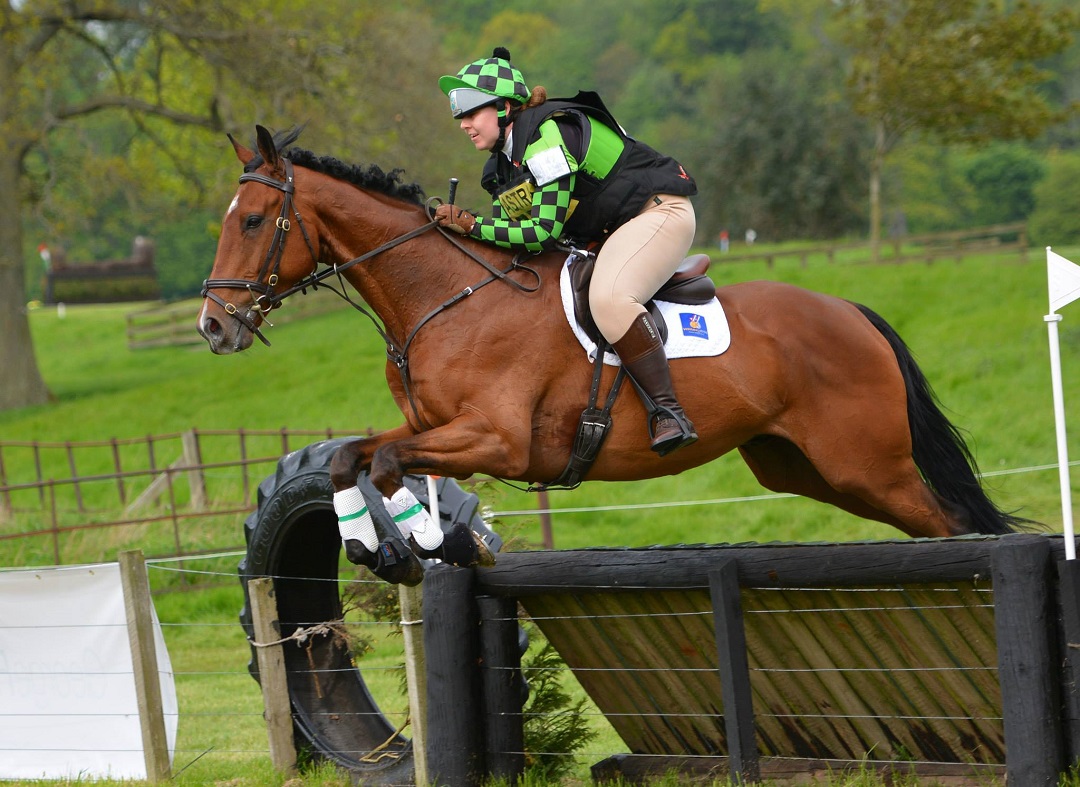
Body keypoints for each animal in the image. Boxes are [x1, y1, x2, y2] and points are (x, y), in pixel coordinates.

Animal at [198, 125, 1025, 585]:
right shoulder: (437, 429)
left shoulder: (496, 437)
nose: (213, 325)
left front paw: (433, 542)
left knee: (953, 525)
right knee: (933, 526)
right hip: (808, 467)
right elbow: (355, 455)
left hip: (869, 463)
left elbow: (391, 461)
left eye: (254, 219)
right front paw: (378, 546)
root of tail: (852, 312)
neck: (446, 296)